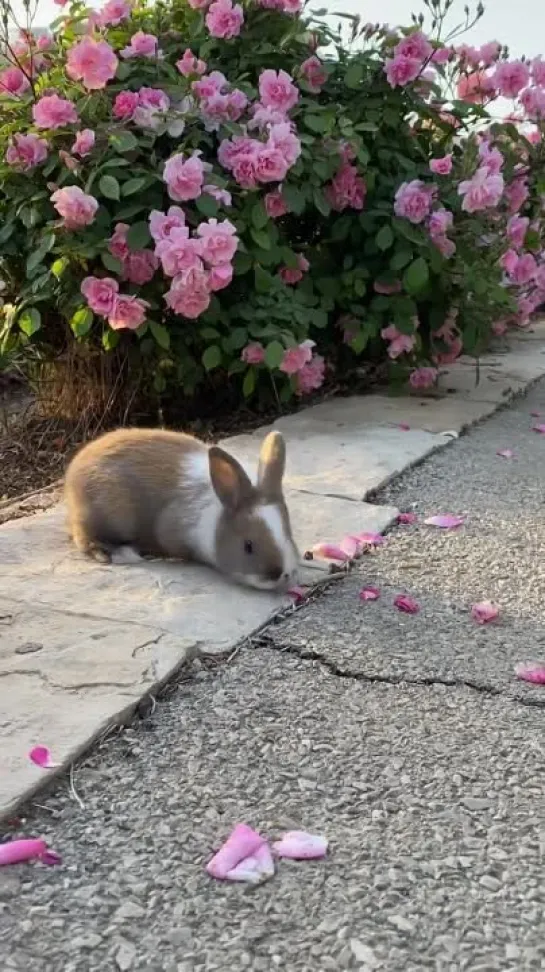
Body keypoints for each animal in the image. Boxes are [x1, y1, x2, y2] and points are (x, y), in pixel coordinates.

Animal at [66, 428, 302, 592]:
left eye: (289, 534)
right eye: (248, 546)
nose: (281, 574)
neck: (218, 514)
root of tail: (73, 472)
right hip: (109, 516)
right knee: (83, 536)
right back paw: (116, 553)